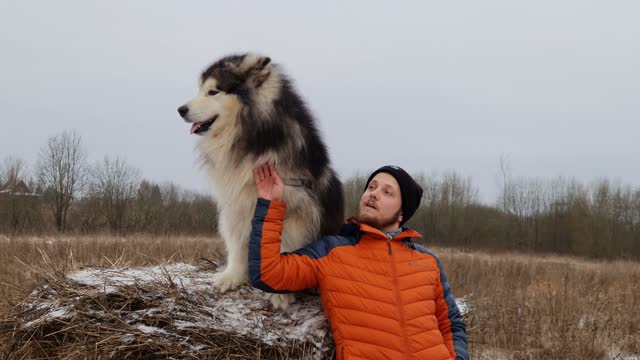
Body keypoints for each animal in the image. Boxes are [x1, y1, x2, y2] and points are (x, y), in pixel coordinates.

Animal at [175, 54, 344, 308]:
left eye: (213, 92)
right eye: (201, 90)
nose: (180, 109)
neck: (249, 134)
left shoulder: (295, 205)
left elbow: (284, 246)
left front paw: (280, 291)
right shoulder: (235, 201)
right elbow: (237, 241)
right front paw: (232, 276)